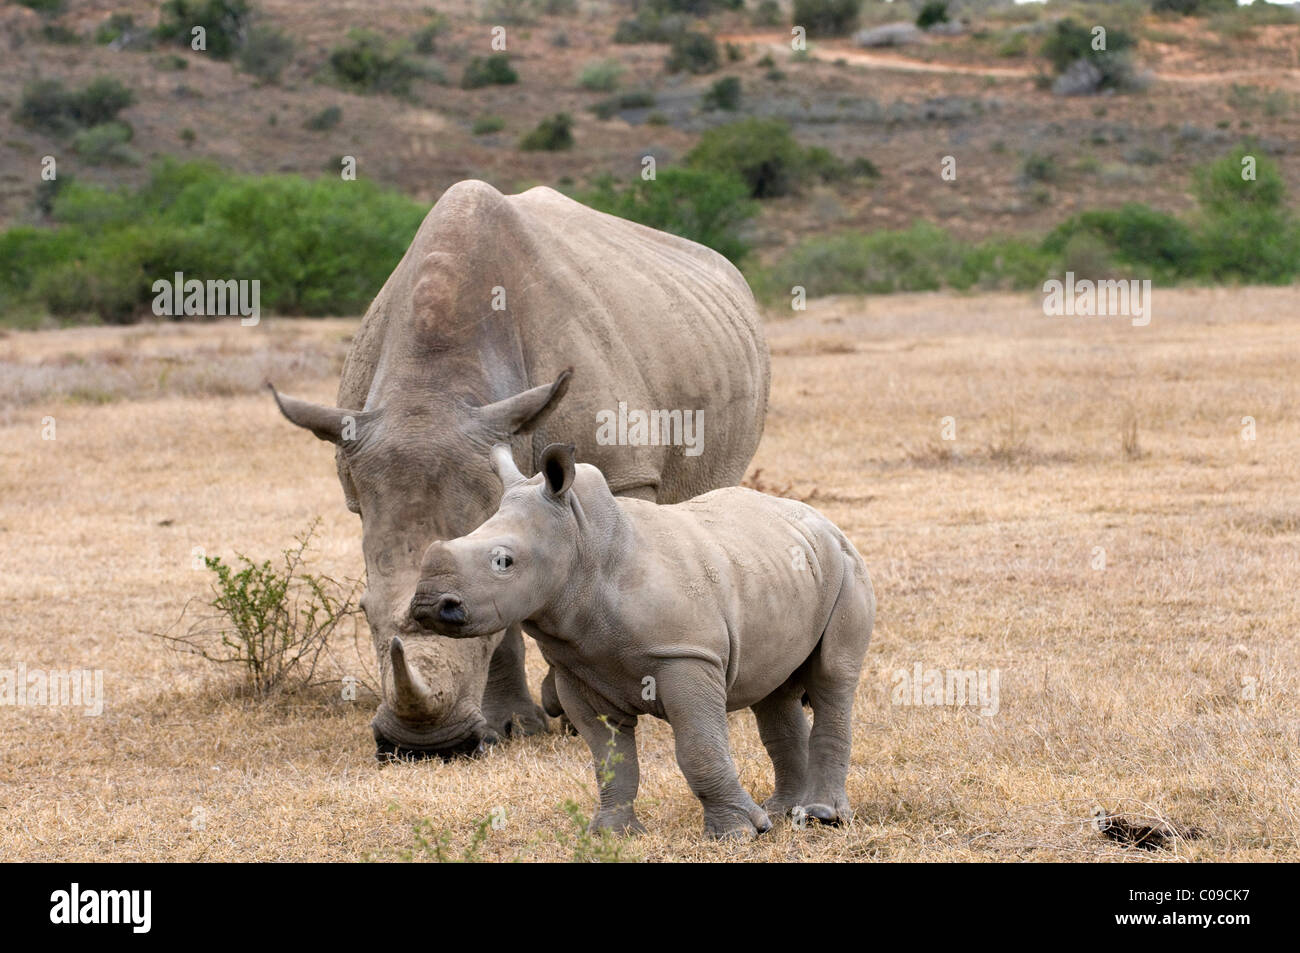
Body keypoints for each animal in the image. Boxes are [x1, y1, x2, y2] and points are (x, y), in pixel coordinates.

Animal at [267, 176, 764, 759]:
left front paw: (580, 710)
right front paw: (513, 727)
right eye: (363, 613)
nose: (424, 747)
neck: (435, 387)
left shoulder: (624, 470)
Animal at [405, 442, 873, 837]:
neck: (584, 544)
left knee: (832, 678)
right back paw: (783, 813)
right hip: (780, 565)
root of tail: (825, 522)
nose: (428, 605)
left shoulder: (685, 655)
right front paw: (612, 834)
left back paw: (821, 817)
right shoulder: (577, 670)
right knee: (773, 692)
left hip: (847, 565)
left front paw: (738, 834)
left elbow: (699, 748)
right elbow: (610, 758)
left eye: (504, 561)